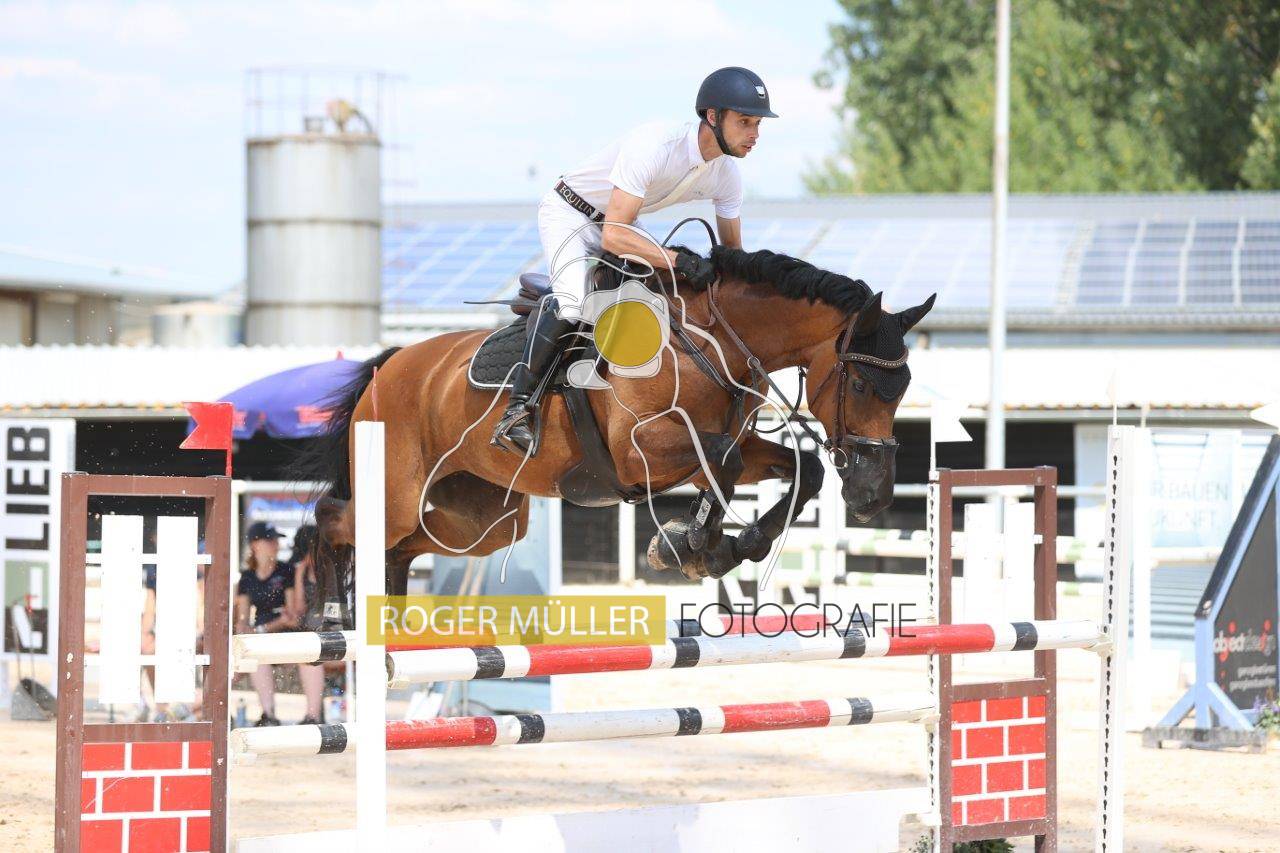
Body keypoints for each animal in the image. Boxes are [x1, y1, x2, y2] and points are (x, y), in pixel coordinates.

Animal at [295, 246, 934, 604]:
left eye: (903, 388)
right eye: (860, 385)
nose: (874, 497)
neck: (713, 341)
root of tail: (388, 366)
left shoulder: (729, 442)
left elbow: (800, 469)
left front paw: (725, 546)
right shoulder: (639, 451)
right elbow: (723, 463)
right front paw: (687, 545)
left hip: (483, 519)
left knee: (400, 548)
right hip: (398, 494)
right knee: (334, 521)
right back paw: (330, 621)